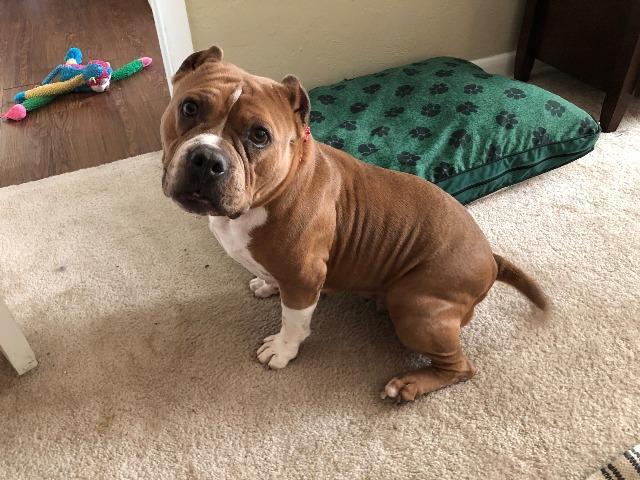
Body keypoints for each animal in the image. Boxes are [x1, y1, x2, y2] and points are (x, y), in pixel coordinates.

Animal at [160, 46, 548, 402]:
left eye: (259, 135)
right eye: (189, 107)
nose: (207, 158)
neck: (266, 195)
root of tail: (491, 259)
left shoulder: (303, 279)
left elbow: (294, 322)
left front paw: (282, 350)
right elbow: (271, 279)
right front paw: (266, 284)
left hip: (415, 308)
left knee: (460, 367)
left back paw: (409, 384)